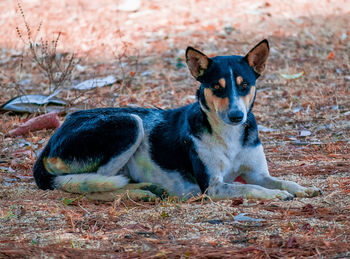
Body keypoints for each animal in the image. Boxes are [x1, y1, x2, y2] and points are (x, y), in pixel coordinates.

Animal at [33, 40, 322, 201]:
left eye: (244, 85)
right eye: (216, 87)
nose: (236, 116)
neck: (228, 136)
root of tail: (51, 141)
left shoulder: (257, 173)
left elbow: (280, 181)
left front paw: (300, 188)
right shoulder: (213, 187)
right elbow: (252, 189)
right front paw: (275, 195)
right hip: (129, 123)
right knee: (91, 184)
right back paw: (140, 192)